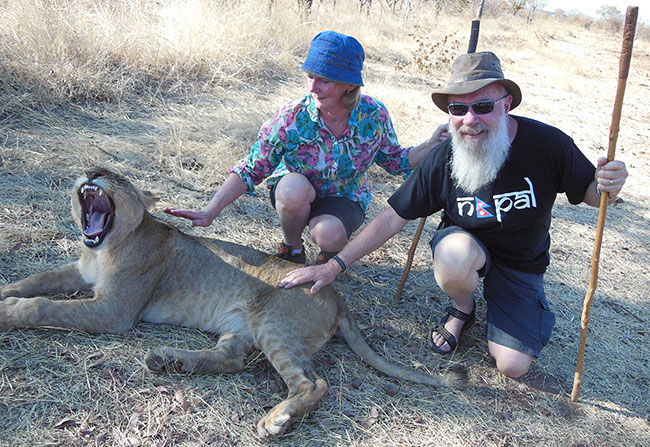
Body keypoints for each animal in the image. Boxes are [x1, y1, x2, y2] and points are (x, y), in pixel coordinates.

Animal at [1, 167, 466, 438]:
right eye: (96, 170)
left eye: (118, 178)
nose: (91, 174)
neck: (105, 246)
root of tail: (332, 291)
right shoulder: (78, 273)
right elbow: (36, 280)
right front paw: (6, 289)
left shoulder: (113, 310)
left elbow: (43, 305)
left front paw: (7, 312)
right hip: (241, 328)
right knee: (232, 359)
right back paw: (168, 361)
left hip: (273, 324)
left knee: (312, 383)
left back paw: (276, 420)